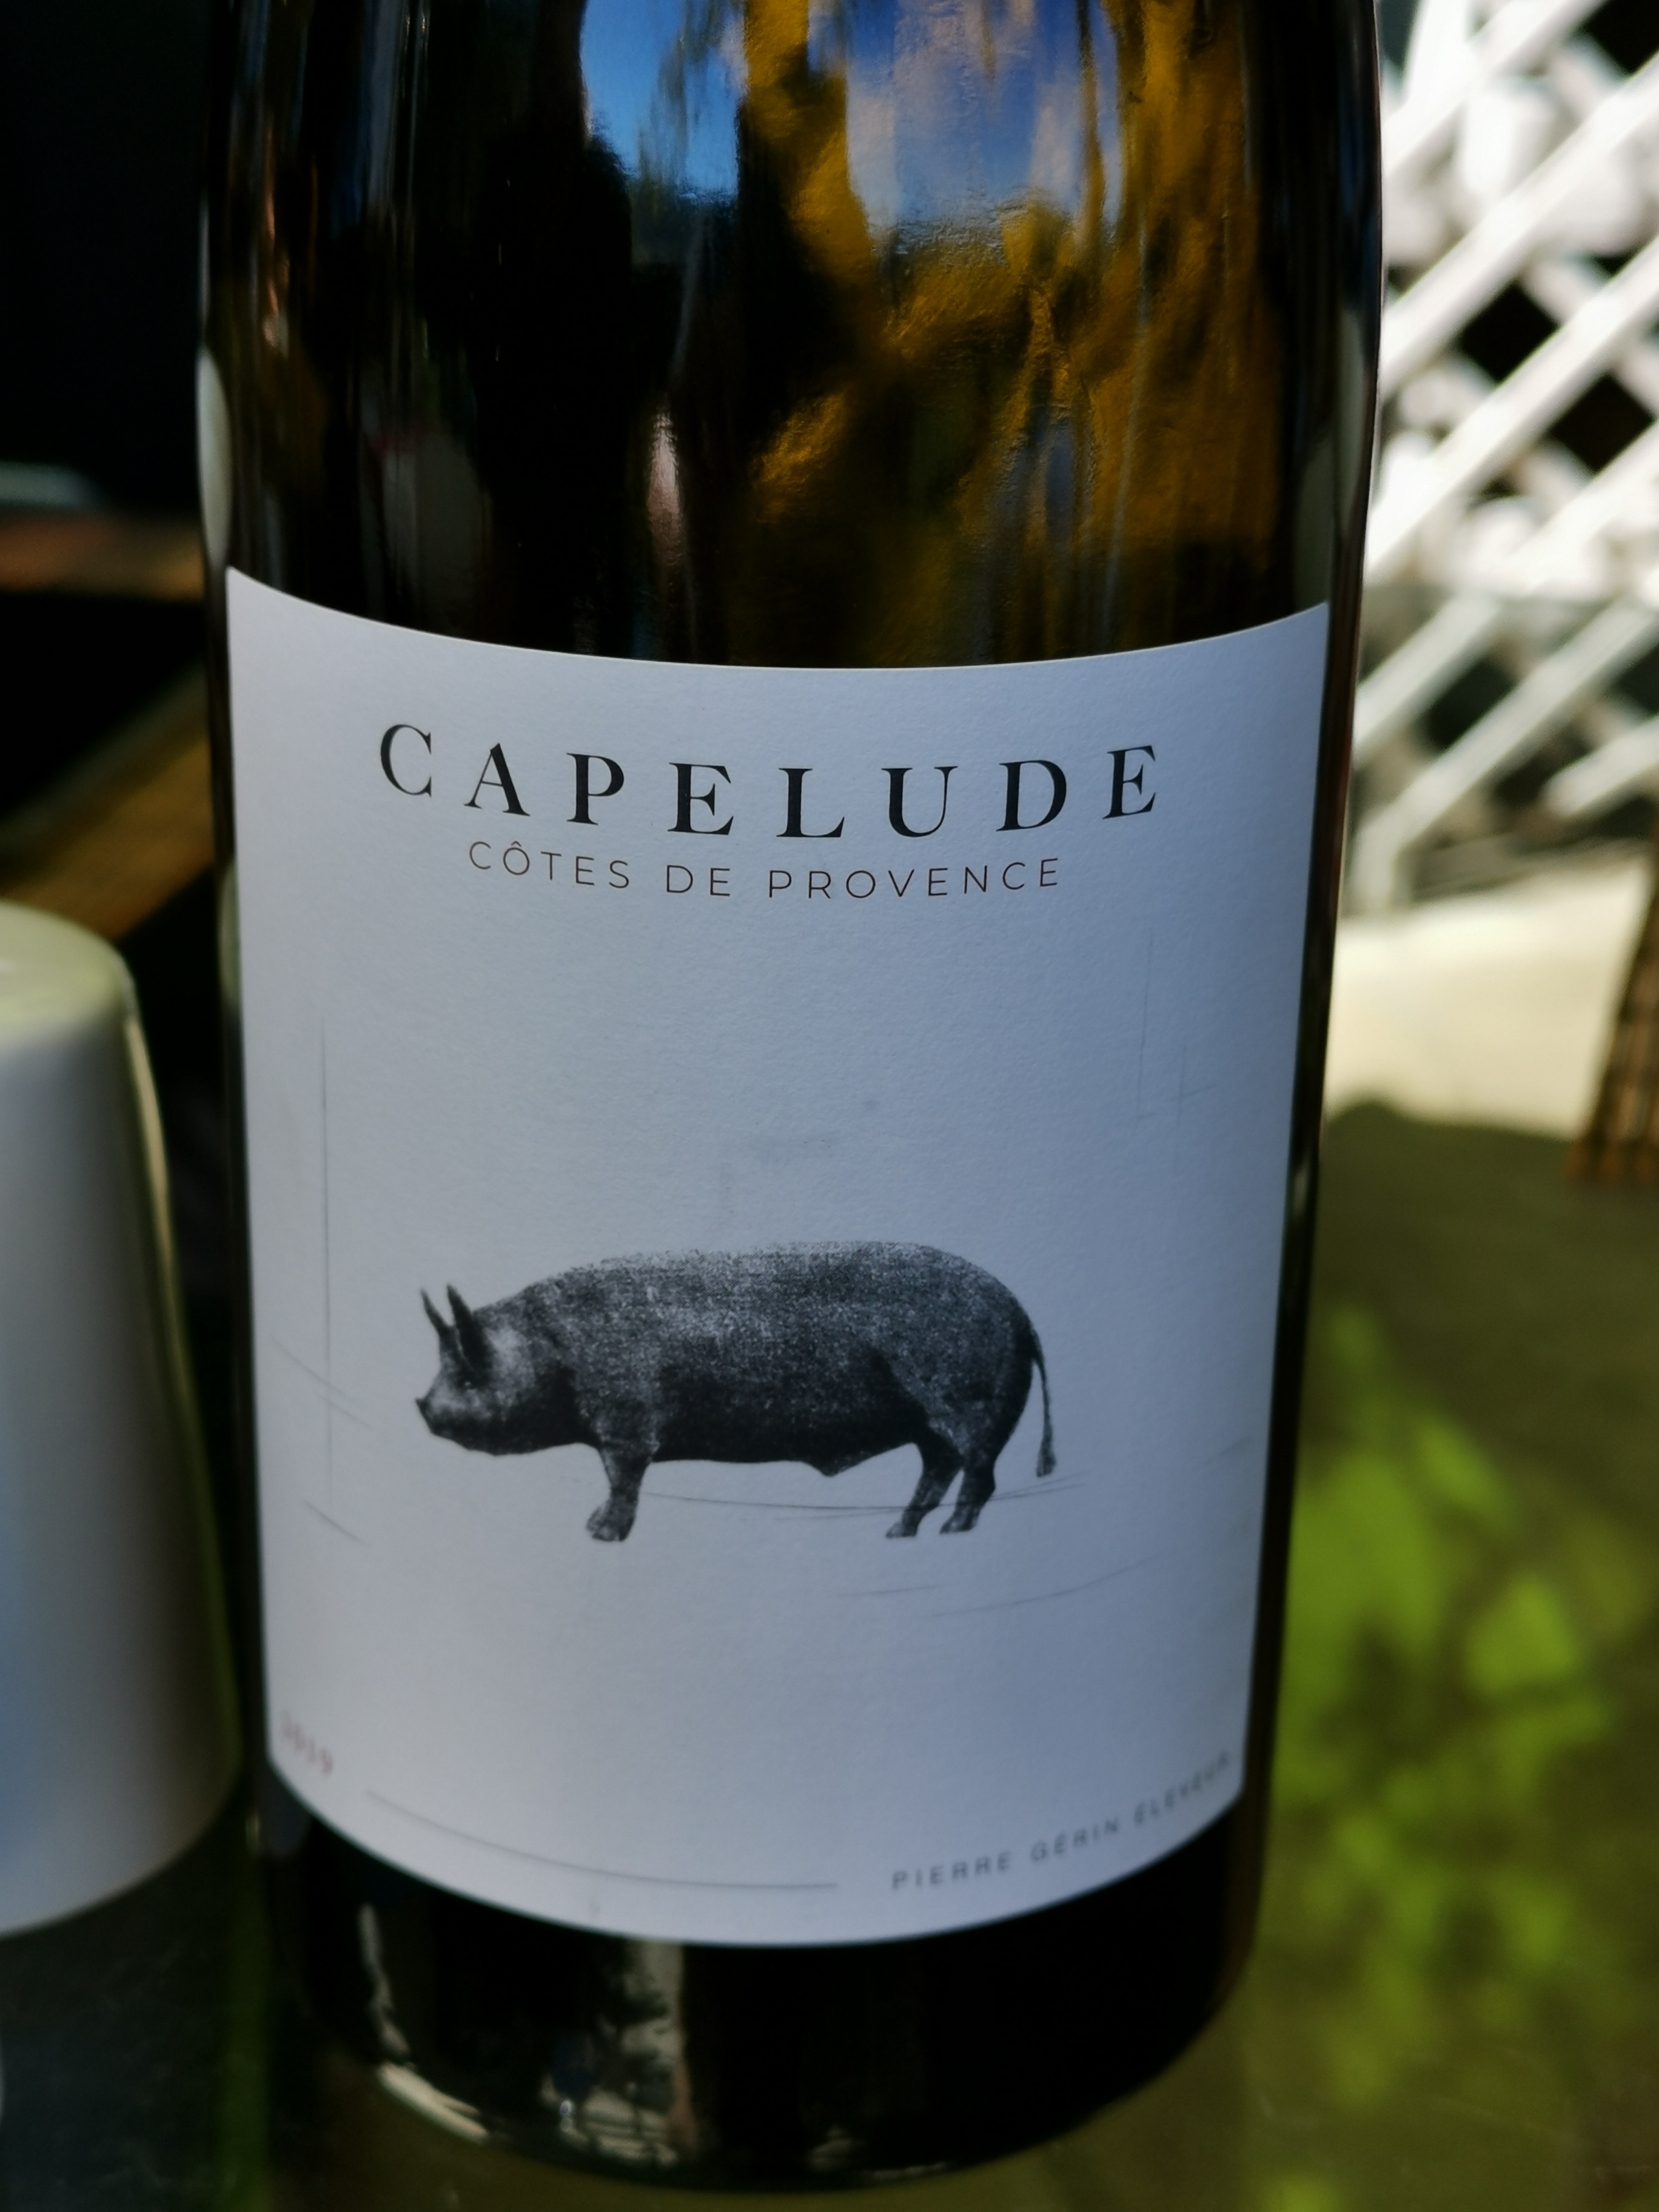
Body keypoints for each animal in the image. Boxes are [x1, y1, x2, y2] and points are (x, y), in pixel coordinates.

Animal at [416, 1242, 1055, 1541]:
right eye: (444, 1365)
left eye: (472, 1372)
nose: (421, 1406)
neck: (556, 1349)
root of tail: (1024, 1318)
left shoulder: (628, 1422)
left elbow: (623, 1479)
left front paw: (598, 1535)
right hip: (929, 1423)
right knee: (939, 1469)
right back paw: (899, 1532)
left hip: (964, 1403)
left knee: (979, 1472)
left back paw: (949, 1532)